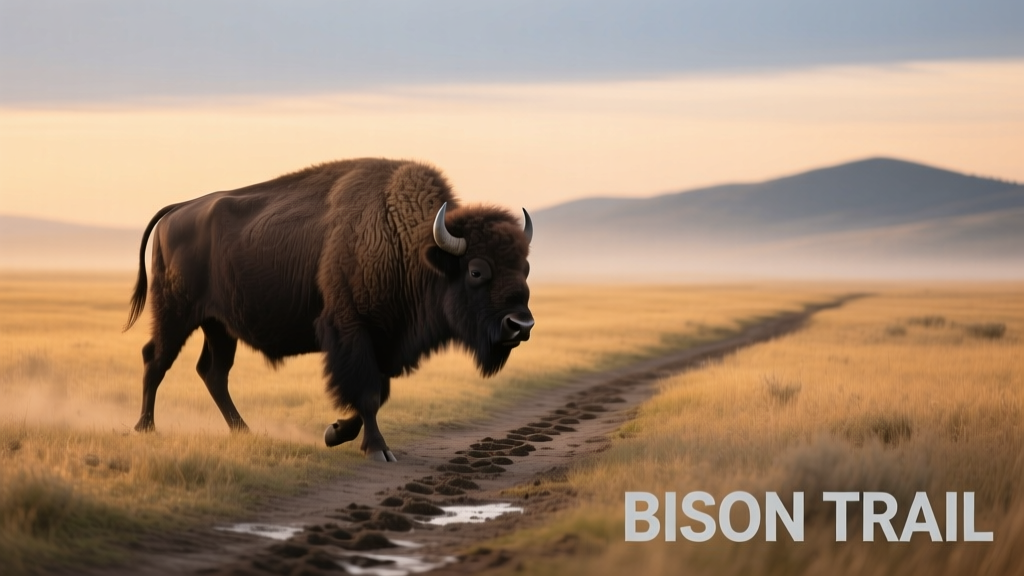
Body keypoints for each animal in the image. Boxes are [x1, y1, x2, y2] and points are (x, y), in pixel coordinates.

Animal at [124, 159, 534, 461]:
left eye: (525, 267)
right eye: (476, 270)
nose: (521, 324)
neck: (409, 246)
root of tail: (177, 210)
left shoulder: (383, 342)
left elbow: (377, 394)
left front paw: (334, 432)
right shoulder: (351, 331)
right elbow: (368, 393)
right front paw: (378, 450)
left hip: (219, 326)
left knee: (213, 372)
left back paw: (243, 430)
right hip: (175, 314)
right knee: (155, 359)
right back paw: (145, 427)